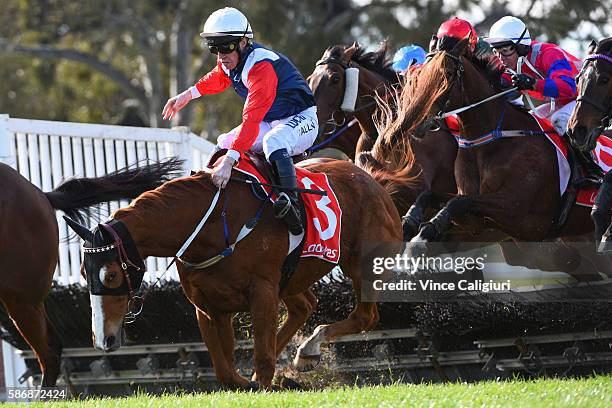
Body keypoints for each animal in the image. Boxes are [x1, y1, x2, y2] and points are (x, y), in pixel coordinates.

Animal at [65, 159, 402, 388]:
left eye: (110, 275)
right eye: (82, 272)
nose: (103, 339)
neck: (214, 224)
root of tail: (374, 180)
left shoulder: (262, 290)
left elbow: (261, 358)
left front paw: (262, 379)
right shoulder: (208, 305)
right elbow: (224, 368)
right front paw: (247, 380)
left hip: (361, 262)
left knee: (365, 317)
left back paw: (309, 348)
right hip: (294, 278)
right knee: (304, 306)